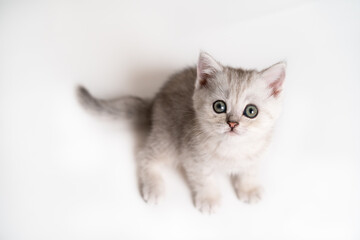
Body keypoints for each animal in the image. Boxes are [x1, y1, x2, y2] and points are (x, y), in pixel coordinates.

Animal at [77, 51, 286, 213]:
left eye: (251, 111)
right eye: (219, 106)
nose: (232, 124)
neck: (232, 149)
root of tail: (154, 102)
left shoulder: (255, 156)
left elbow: (249, 171)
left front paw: (249, 189)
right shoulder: (193, 158)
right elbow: (205, 179)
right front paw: (209, 199)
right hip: (168, 138)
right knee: (144, 156)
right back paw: (154, 188)